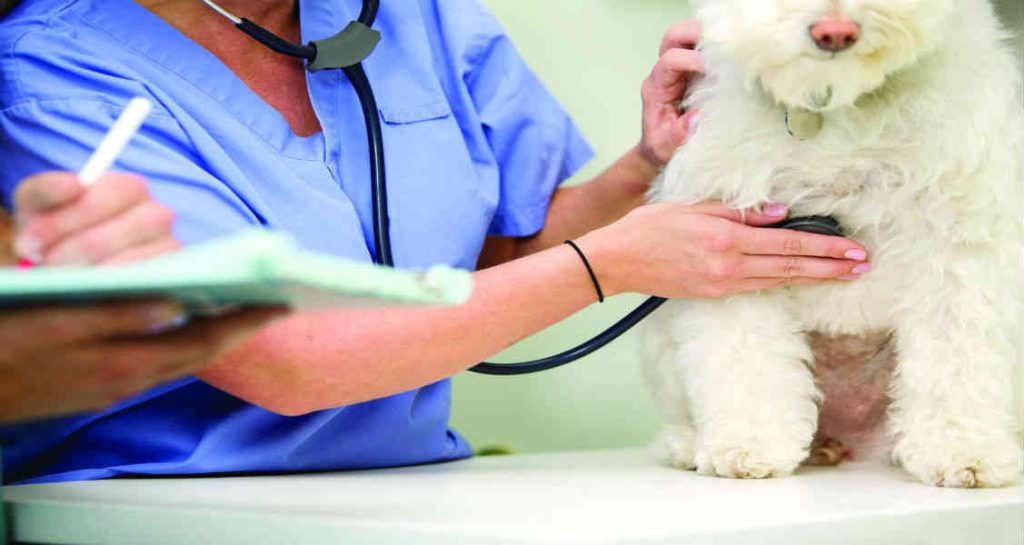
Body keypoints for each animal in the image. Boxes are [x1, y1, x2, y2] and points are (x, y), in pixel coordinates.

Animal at [647, 0, 1024, 487]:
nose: (834, 33)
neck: (834, 105)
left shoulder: (957, 245)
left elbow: (957, 358)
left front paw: (963, 449)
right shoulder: (736, 246)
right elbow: (746, 358)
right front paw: (749, 445)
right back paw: (692, 444)